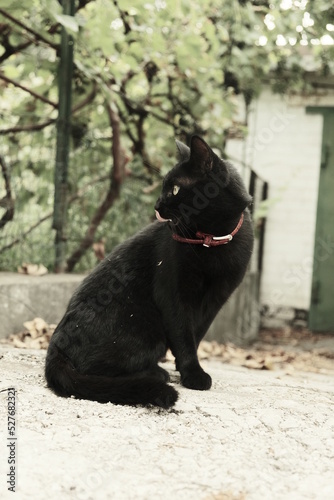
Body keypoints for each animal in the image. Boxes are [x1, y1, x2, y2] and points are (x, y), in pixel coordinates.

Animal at [45, 136, 253, 406]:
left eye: (174, 189)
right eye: (165, 187)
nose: (157, 205)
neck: (212, 239)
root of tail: (56, 346)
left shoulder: (216, 299)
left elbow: (196, 334)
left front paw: (186, 370)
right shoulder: (173, 295)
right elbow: (183, 335)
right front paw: (193, 374)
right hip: (144, 329)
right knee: (95, 368)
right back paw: (156, 373)